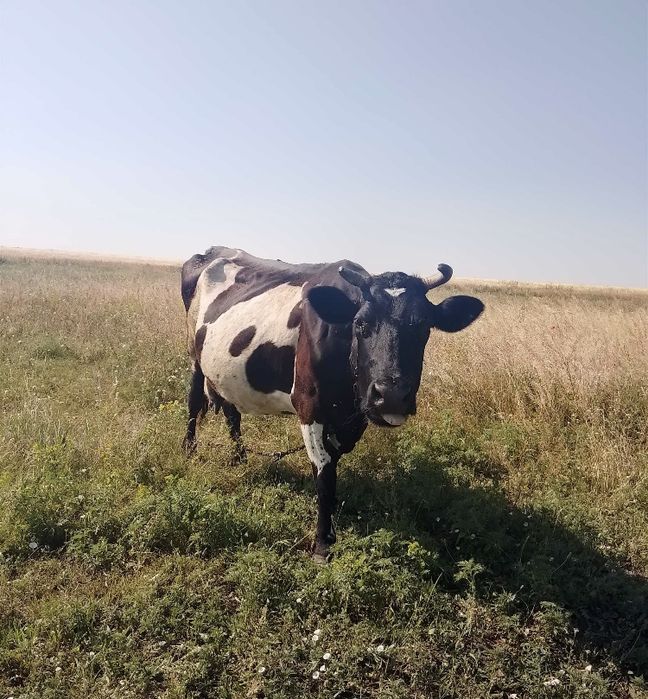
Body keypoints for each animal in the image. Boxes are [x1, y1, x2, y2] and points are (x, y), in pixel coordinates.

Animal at [181, 246, 484, 561]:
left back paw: (239, 457)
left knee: (231, 412)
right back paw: (189, 450)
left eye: (424, 326)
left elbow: (335, 461)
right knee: (193, 402)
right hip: (194, 354)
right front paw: (323, 543)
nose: (390, 395)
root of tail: (211, 252)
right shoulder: (309, 406)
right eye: (360, 323)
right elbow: (325, 475)